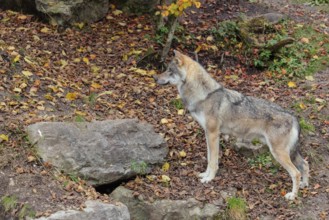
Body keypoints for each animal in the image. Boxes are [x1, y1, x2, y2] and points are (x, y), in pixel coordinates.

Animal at [152, 50, 308, 201]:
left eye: (169, 70)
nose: (154, 78)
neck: (204, 95)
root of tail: (293, 117)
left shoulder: (213, 134)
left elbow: (213, 161)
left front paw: (209, 179)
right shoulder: (208, 134)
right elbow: (209, 158)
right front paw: (205, 175)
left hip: (278, 153)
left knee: (296, 172)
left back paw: (292, 195)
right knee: (305, 164)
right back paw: (304, 185)